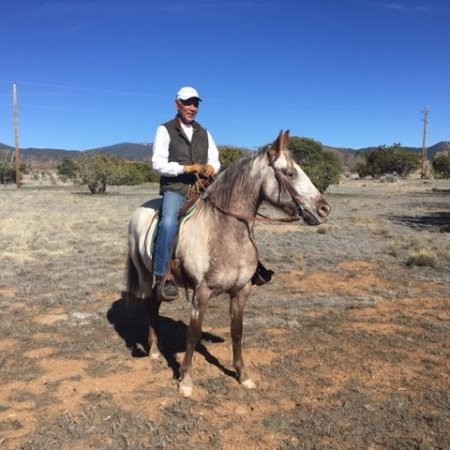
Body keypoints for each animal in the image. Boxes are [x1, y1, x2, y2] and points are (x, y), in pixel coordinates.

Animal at [125, 130, 330, 398]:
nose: (324, 209)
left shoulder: (242, 290)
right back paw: (153, 351)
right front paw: (186, 381)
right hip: (146, 275)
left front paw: (243, 375)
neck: (225, 230)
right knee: (150, 306)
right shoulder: (201, 293)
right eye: (289, 173)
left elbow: (237, 331)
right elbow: (193, 334)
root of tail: (138, 211)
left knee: (155, 305)